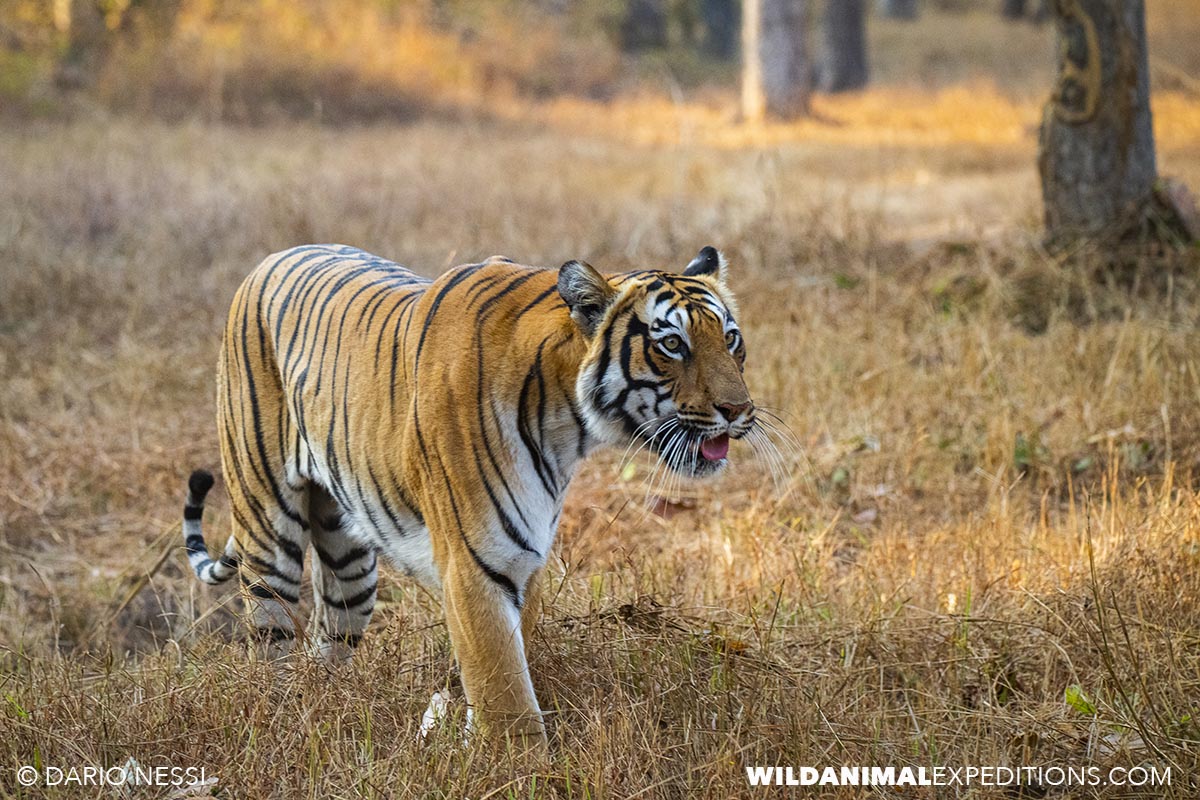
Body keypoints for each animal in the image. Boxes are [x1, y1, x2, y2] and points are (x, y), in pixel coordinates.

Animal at [182, 243, 756, 747]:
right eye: (672, 345)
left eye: (731, 339)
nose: (739, 410)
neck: (567, 423)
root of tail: (270, 260)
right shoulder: (475, 561)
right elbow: (504, 690)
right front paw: (521, 767)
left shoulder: (525, 557)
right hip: (266, 528)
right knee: (269, 641)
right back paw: (277, 716)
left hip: (349, 568)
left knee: (325, 638)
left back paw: (323, 709)